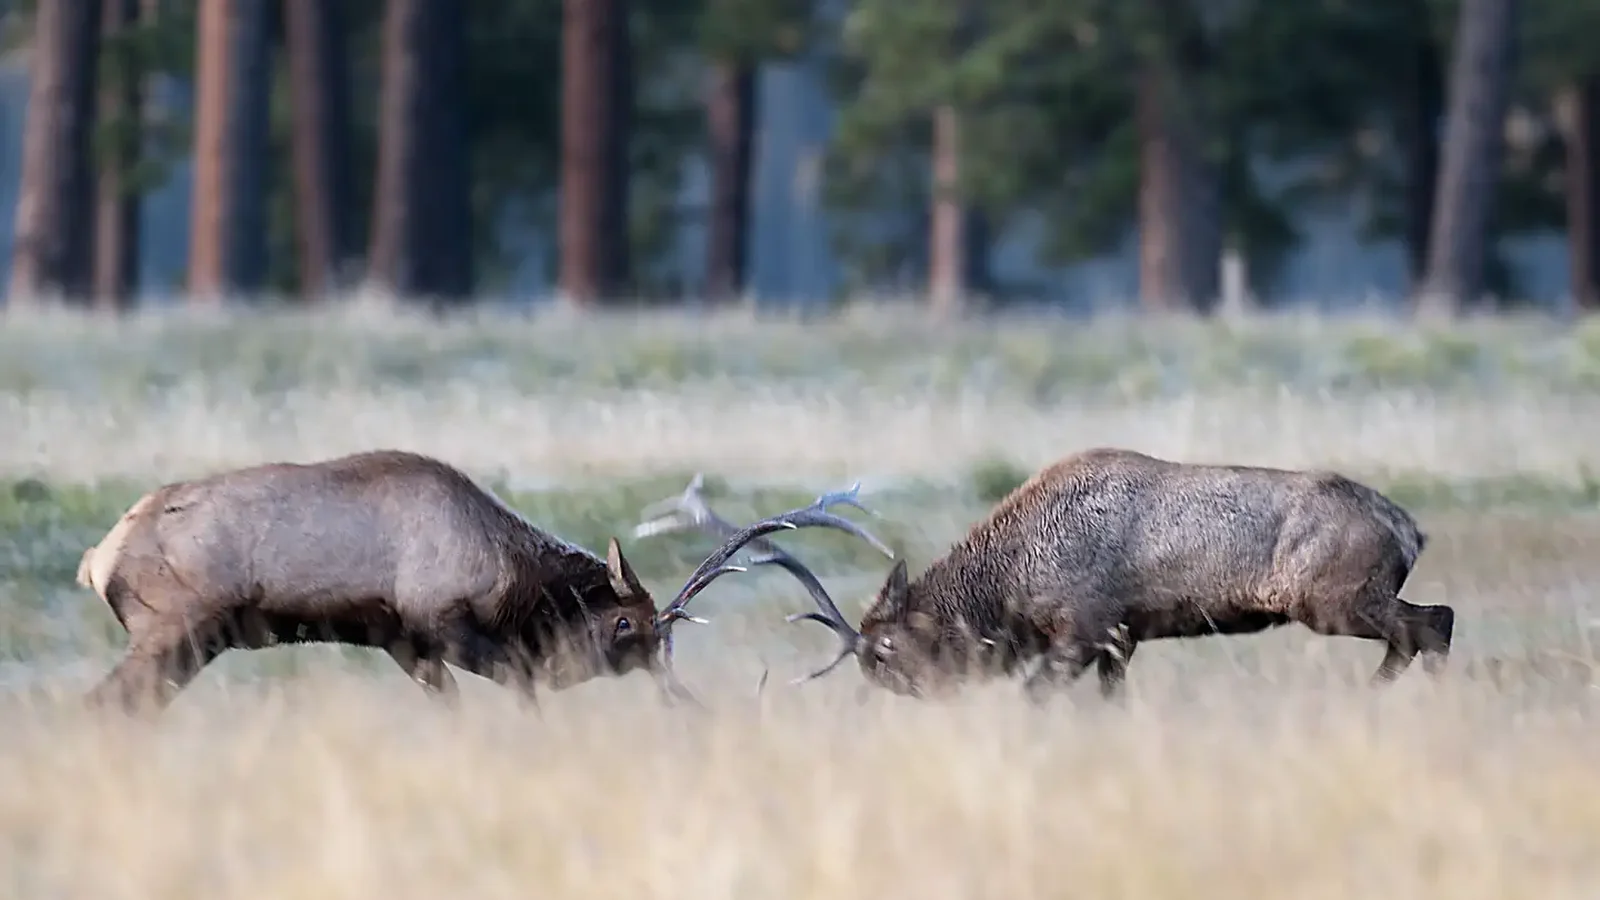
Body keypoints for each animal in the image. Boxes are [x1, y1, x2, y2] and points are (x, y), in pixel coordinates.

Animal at [72, 449, 894, 716]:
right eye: (626, 623)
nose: (678, 696)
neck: (512, 580)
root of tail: (96, 559)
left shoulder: (405, 643)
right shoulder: (445, 625)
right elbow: (521, 692)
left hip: (191, 644)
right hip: (174, 630)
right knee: (106, 704)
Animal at [637, 448, 1456, 704]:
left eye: (891, 650)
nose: (931, 703)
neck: (1014, 585)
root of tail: (1409, 527)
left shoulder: (1085, 629)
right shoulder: (1121, 640)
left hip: (1335, 598)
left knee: (1433, 623)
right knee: (1428, 624)